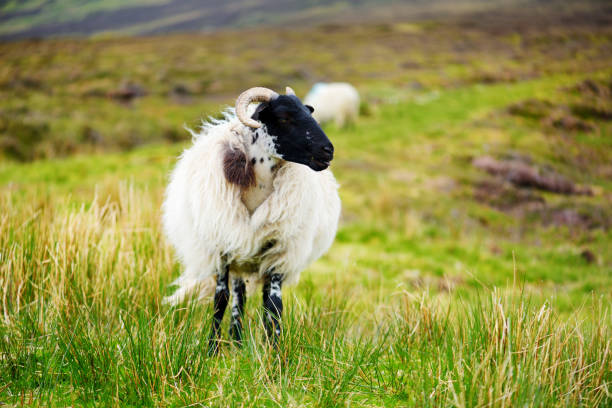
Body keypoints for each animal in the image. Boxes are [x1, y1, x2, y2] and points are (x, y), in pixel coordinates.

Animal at [163, 87, 342, 354]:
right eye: (284, 117)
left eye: (308, 112)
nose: (327, 150)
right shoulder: (222, 250)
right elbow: (221, 299)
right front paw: (212, 349)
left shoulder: (278, 253)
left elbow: (274, 305)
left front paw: (274, 352)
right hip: (238, 250)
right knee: (239, 296)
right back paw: (235, 343)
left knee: (257, 297)